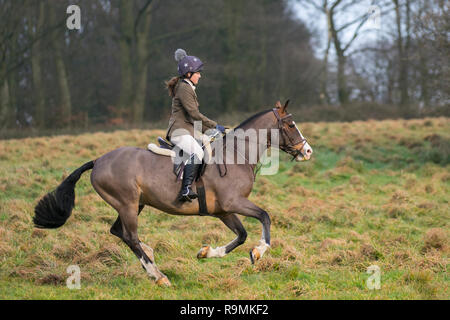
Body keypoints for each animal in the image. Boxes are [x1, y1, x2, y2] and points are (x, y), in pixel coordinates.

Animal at [33, 100, 312, 284]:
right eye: (290, 124)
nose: (307, 151)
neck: (236, 154)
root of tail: (99, 160)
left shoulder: (222, 210)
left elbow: (241, 235)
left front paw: (207, 252)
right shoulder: (234, 202)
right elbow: (265, 216)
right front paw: (259, 251)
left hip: (135, 204)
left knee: (119, 232)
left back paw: (150, 256)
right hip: (127, 204)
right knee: (130, 236)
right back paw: (157, 275)